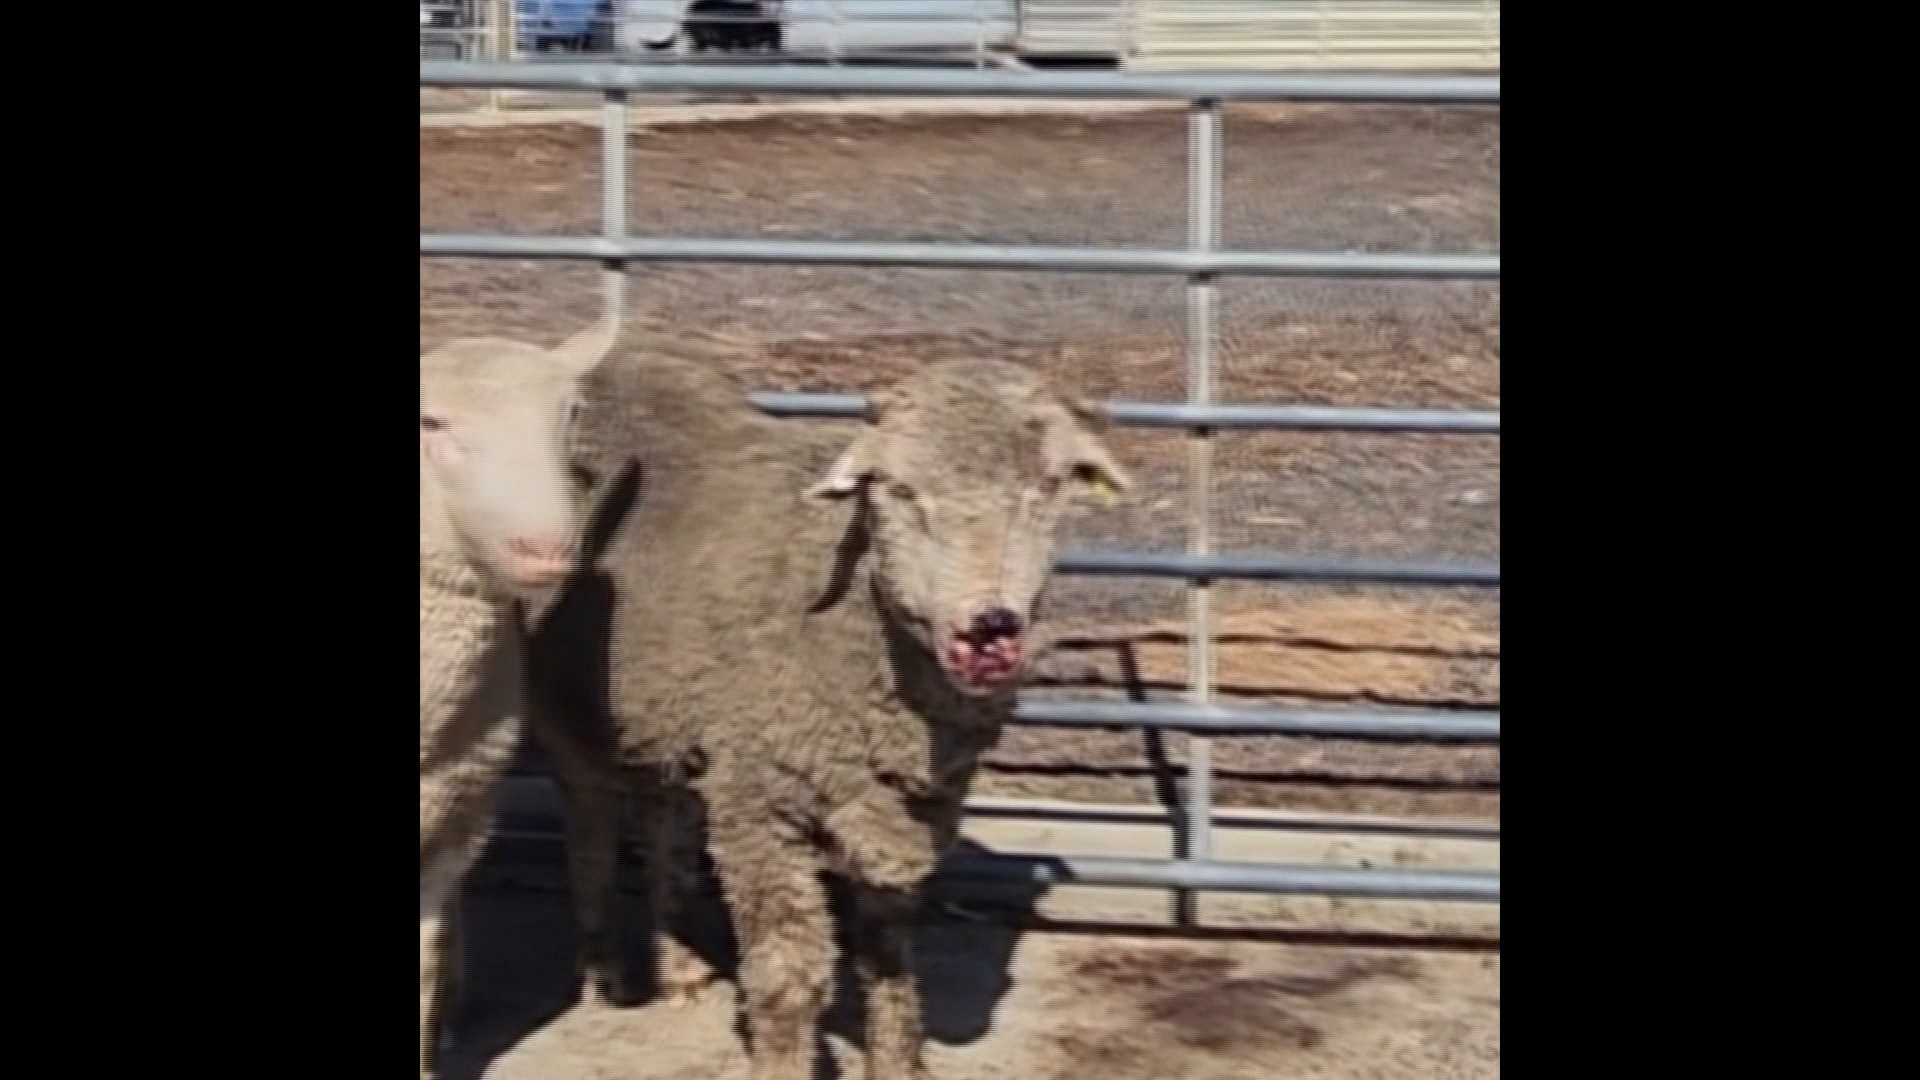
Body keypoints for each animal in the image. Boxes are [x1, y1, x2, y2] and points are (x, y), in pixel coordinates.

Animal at [525, 341, 1129, 1080]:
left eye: (1047, 488)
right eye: (899, 490)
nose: (990, 627)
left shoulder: (896, 808)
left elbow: (889, 960)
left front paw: (897, 1061)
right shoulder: (759, 807)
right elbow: (789, 977)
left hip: (669, 712)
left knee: (662, 820)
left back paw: (681, 967)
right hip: (568, 709)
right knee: (590, 835)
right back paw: (604, 970)